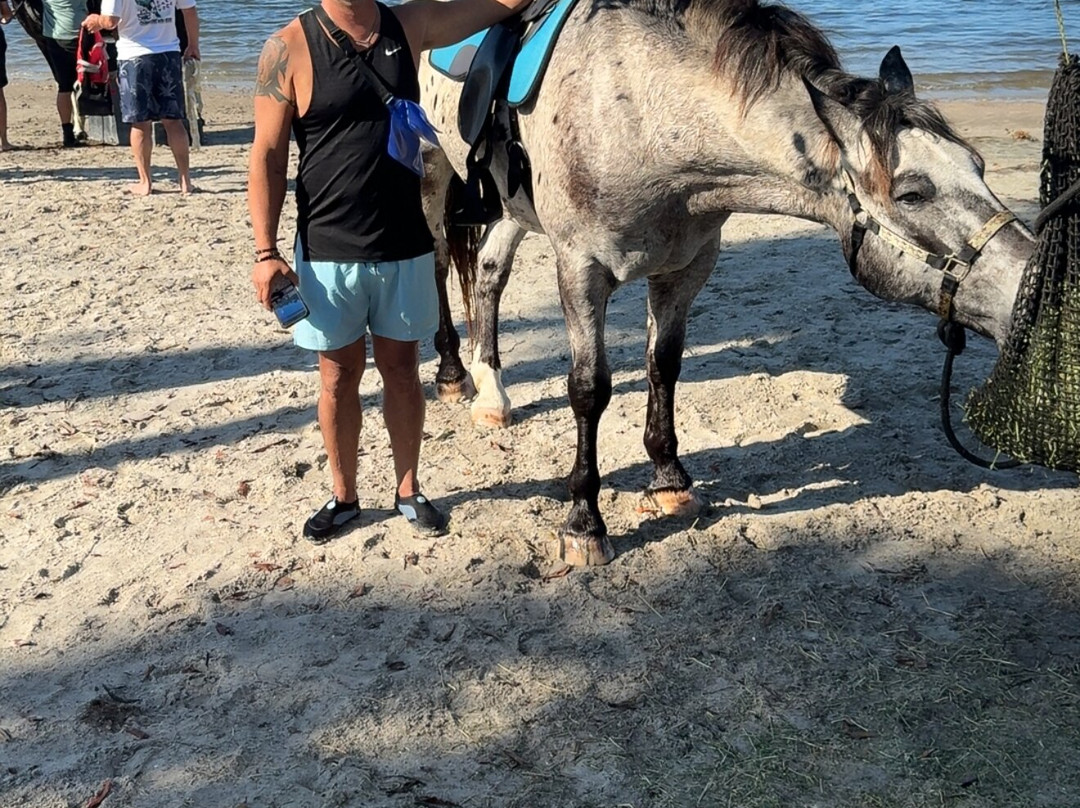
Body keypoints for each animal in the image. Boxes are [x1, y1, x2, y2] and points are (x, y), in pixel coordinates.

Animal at [417, 0, 1036, 566]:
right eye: (912, 193)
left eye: (979, 165)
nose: (1029, 293)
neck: (639, 105)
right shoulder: (581, 269)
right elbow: (589, 389)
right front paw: (584, 523)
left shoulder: (687, 266)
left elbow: (664, 366)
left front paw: (670, 481)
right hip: (431, 170)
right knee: (442, 263)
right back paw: (452, 371)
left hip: (511, 204)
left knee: (491, 271)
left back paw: (491, 392)